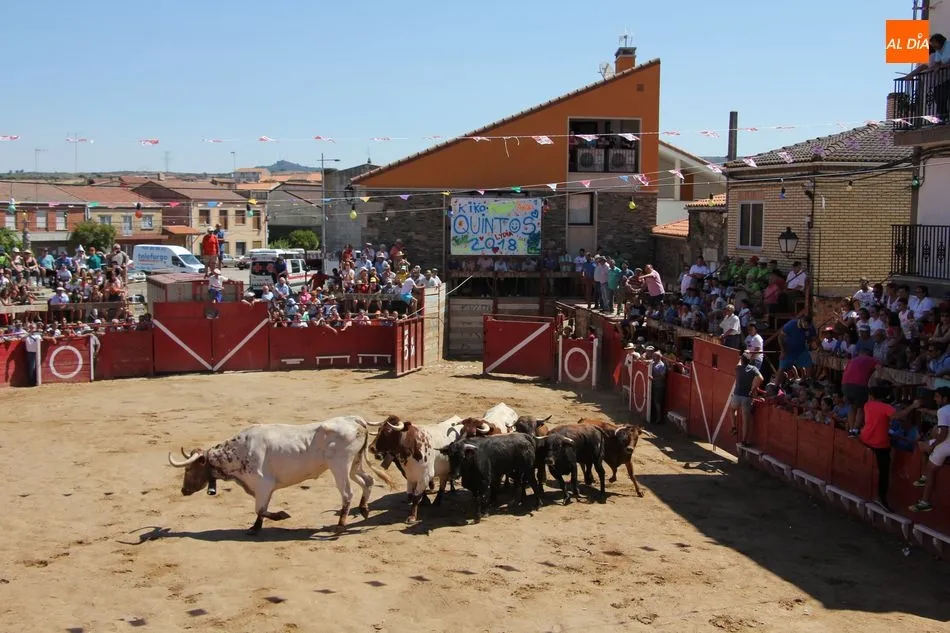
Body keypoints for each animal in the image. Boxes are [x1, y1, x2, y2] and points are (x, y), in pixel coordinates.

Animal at [167, 416, 392, 535]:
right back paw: (364, 509)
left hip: (340, 467)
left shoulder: (263, 484)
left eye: (188, 469)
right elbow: (261, 509)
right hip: (354, 464)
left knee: (347, 493)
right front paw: (255, 528)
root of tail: (354, 420)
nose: (183, 490)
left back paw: (340, 525)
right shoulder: (264, 488)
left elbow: (260, 508)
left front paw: (281, 515)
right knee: (368, 481)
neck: (240, 451)